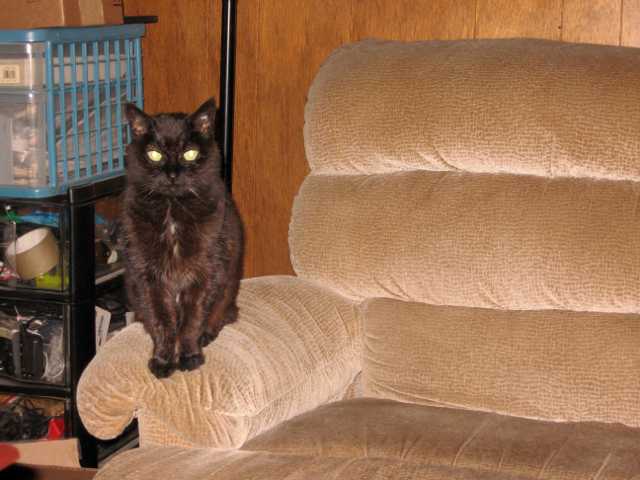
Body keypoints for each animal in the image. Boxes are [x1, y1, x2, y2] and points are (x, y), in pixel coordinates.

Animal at [122, 98, 242, 378]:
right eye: (154, 154)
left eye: (190, 153)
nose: (173, 175)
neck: (172, 211)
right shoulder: (147, 276)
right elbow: (162, 321)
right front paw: (163, 360)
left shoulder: (206, 273)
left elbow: (193, 319)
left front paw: (189, 356)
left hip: (229, 289)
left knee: (223, 314)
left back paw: (207, 335)